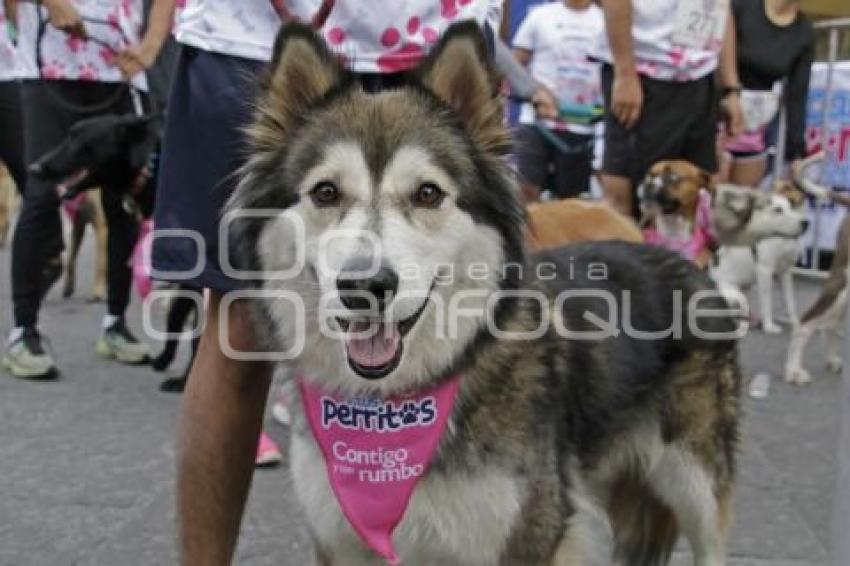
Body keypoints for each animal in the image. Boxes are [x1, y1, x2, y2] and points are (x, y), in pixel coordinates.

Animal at [229, 23, 740, 566]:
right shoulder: (338, 541)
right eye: (325, 192)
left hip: (697, 485)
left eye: (428, 193)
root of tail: (682, 260)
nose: (365, 287)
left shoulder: (528, 532)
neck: (396, 405)